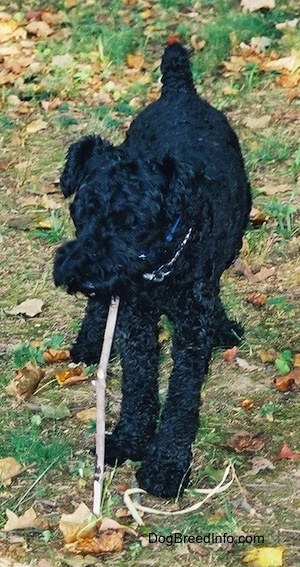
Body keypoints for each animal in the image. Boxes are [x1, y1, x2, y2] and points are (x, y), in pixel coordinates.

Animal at [53, 42, 251, 500]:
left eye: (131, 220)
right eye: (81, 210)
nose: (84, 276)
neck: (159, 267)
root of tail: (179, 90)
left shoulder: (189, 333)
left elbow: (181, 398)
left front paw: (165, 465)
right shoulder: (136, 321)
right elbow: (139, 382)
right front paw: (129, 439)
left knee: (216, 288)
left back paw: (222, 325)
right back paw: (90, 341)